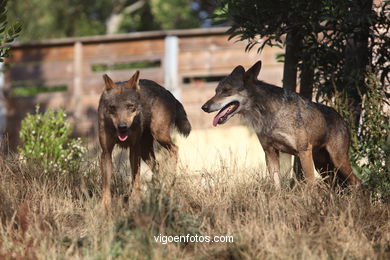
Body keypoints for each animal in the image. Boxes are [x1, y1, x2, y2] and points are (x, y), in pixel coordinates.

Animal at [98, 69, 191, 207]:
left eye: (130, 106)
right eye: (112, 107)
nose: (122, 127)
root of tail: (168, 92)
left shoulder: (133, 150)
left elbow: (135, 178)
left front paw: (135, 200)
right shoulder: (106, 152)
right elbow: (106, 184)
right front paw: (105, 205)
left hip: (159, 136)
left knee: (175, 149)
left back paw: (170, 181)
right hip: (145, 151)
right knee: (157, 166)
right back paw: (157, 189)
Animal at [203, 60, 362, 188]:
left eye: (226, 91)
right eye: (216, 91)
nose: (204, 107)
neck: (270, 116)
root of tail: (342, 118)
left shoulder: (303, 152)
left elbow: (309, 185)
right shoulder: (270, 152)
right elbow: (277, 186)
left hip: (337, 161)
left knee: (357, 182)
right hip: (323, 167)